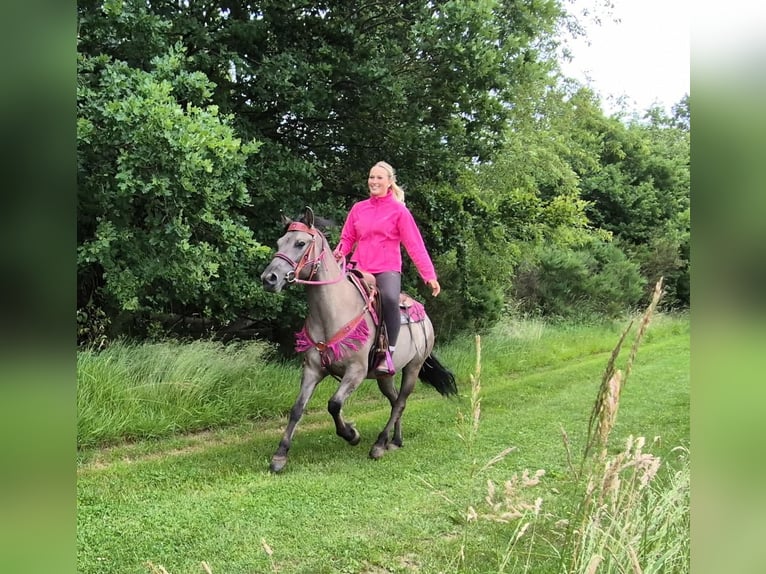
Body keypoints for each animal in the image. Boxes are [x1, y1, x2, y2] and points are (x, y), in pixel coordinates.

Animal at [260, 206, 458, 473]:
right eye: (280, 242)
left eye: (300, 243)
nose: (269, 278)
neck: (333, 311)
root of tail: (424, 315)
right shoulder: (312, 369)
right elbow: (297, 408)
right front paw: (280, 456)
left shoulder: (356, 371)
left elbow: (334, 404)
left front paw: (351, 434)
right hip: (385, 376)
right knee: (395, 400)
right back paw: (395, 440)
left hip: (413, 368)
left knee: (401, 402)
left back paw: (380, 444)